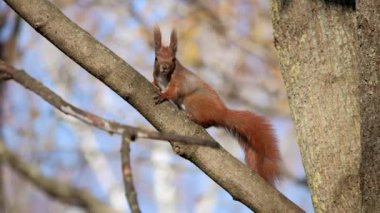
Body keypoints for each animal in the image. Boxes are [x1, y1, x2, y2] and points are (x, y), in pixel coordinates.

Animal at [151, 27, 280, 186]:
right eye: (156, 58)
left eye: (173, 59)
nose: (164, 67)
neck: (165, 76)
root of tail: (221, 112)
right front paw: (155, 86)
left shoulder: (179, 82)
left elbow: (173, 92)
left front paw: (164, 95)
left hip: (193, 101)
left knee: (206, 120)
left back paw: (192, 117)